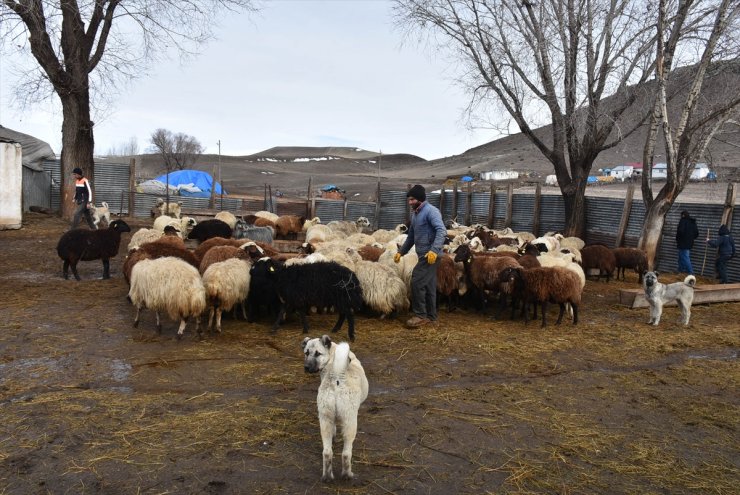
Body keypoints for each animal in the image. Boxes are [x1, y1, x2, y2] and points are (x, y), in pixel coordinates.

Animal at [302, 336, 368, 482]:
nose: (306, 367)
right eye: (306, 353)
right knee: (346, 454)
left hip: (324, 418)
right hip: (351, 421)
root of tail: (337, 376)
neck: (332, 358)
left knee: (327, 452)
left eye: (317, 353)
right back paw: (347, 475)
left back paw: (327, 477)